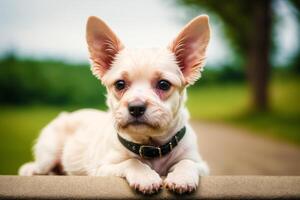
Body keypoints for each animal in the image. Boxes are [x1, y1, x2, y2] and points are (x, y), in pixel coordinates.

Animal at [18, 14, 211, 195]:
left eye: (163, 84)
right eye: (120, 84)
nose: (136, 107)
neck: (151, 148)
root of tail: (65, 115)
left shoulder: (201, 164)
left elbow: (187, 162)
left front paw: (182, 177)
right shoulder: (102, 168)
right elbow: (132, 162)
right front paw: (145, 176)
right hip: (49, 154)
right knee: (38, 165)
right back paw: (31, 170)